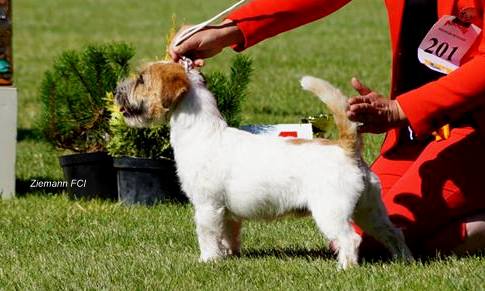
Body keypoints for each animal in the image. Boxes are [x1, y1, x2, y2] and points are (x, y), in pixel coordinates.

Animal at [114, 61, 412, 270]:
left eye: (141, 79)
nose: (117, 90)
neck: (203, 132)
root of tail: (346, 148)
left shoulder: (207, 206)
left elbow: (207, 235)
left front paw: (208, 260)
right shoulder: (227, 214)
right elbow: (229, 235)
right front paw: (229, 256)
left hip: (332, 212)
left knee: (350, 239)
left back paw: (345, 268)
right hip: (370, 209)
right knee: (393, 232)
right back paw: (404, 261)